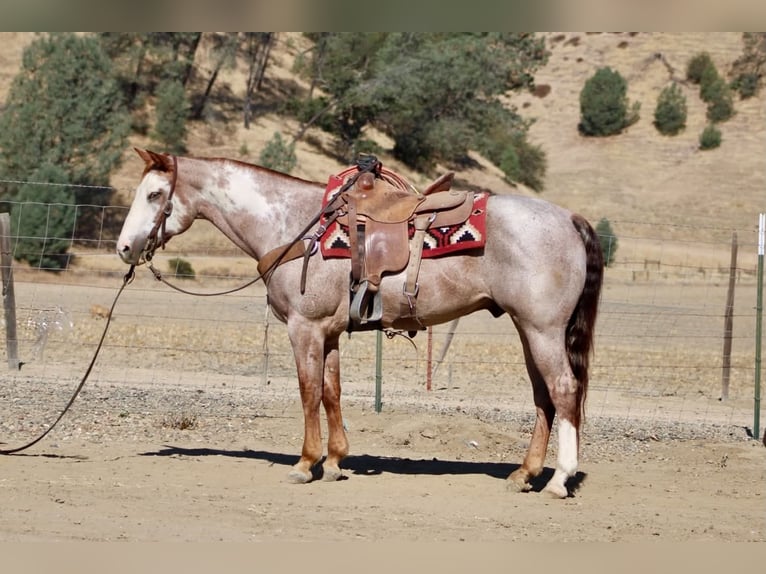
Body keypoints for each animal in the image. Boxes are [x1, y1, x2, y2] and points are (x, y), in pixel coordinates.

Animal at [116, 148, 604, 498]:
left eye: (154, 195)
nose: (124, 247)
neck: (295, 225)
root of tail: (570, 218)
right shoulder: (330, 332)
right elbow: (331, 391)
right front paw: (334, 462)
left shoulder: (305, 327)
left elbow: (308, 391)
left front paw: (305, 463)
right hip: (528, 330)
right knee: (543, 396)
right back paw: (524, 474)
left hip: (542, 330)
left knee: (563, 390)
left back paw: (558, 480)